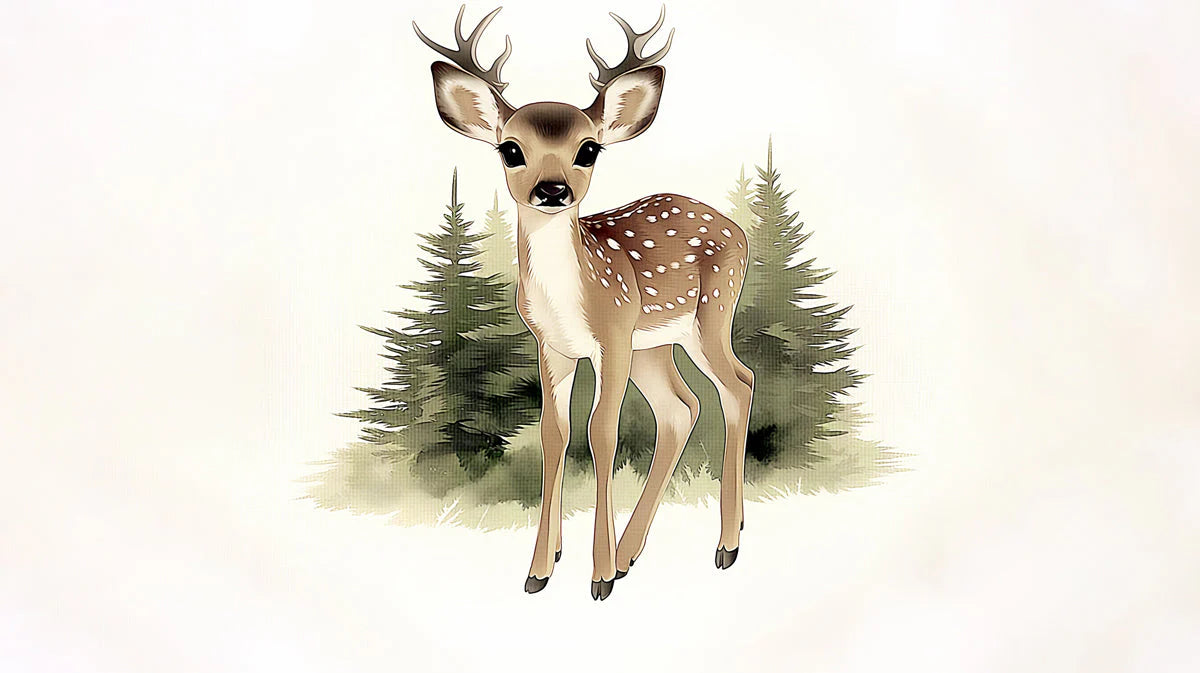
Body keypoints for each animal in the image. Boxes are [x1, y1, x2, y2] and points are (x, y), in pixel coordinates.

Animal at [414, 5, 754, 600]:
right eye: (511, 149)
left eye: (588, 148)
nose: (552, 190)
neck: (571, 300)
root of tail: (739, 232)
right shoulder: (551, 346)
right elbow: (555, 434)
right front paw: (541, 568)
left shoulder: (611, 338)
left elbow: (601, 433)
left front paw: (598, 576)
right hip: (654, 344)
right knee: (682, 408)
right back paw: (632, 551)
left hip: (710, 313)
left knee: (738, 384)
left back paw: (724, 546)